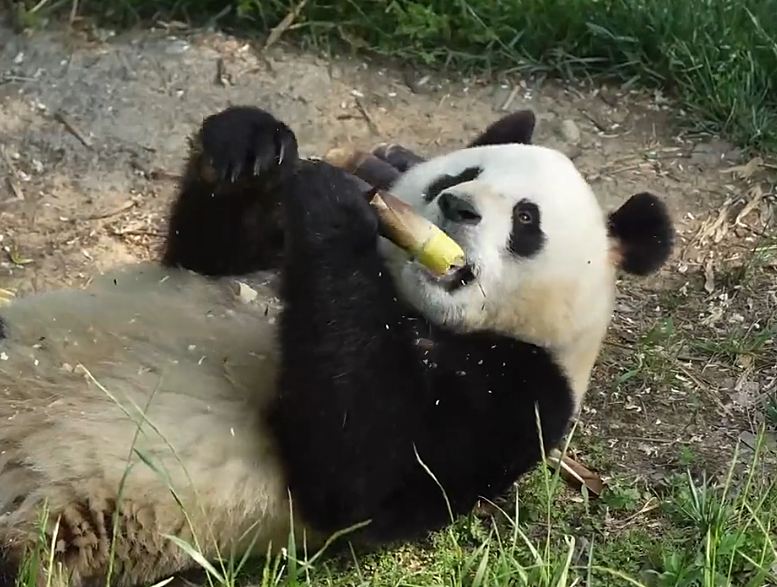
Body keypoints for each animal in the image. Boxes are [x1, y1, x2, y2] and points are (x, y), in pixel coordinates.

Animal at [0, 106, 673, 587]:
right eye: (462, 175)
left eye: (527, 220)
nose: (455, 206)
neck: (410, 302)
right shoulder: (261, 266)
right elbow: (202, 256)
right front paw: (251, 144)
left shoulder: (522, 394)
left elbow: (362, 472)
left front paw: (337, 206)